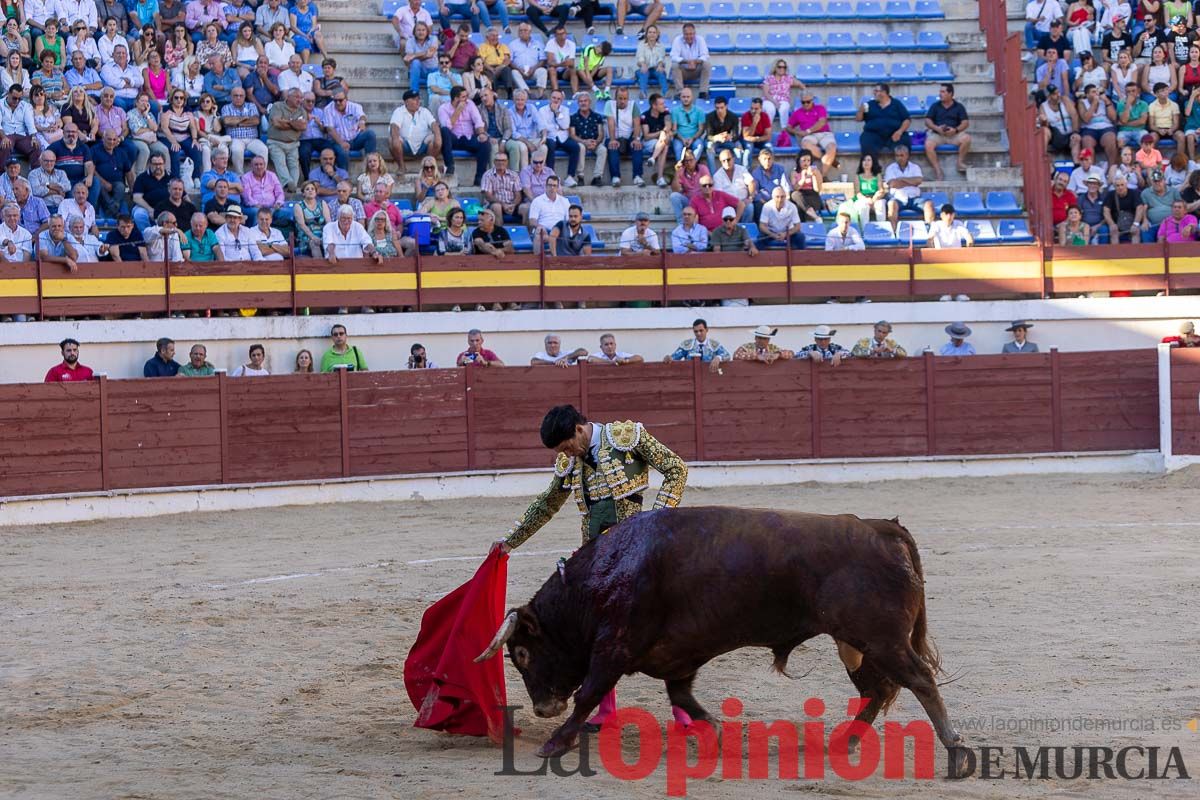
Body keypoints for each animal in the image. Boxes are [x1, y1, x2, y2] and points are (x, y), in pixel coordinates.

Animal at [477, 506, 964, 762]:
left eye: (522, 653)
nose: (542, 708)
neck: (606, 573)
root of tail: (880, 526)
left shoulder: (613, 647)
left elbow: (588, 695)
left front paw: (555, 743)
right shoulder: (677, 657)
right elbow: (682, 697)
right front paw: (714, 731)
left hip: (881, 639)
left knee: (918, 680)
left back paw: (956, 750)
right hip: (859, 645)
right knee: (876, 692)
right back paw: (843, 743)